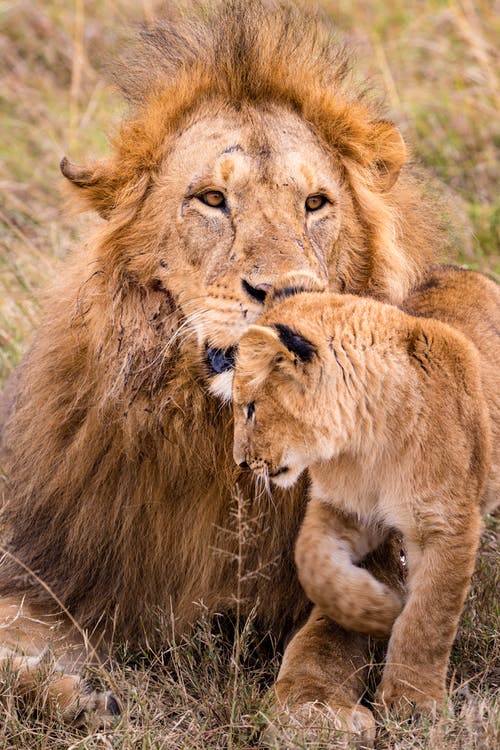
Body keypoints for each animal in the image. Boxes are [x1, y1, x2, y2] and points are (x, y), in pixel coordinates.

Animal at [232, 266, 500, 716]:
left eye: (251, 408)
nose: (239, 461)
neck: (365, 440)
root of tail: (464, 271)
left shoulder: (448, 525)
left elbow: (428, 618)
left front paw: (411, 701)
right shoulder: (347, 508)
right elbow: (312, 560)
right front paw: (377, 611)